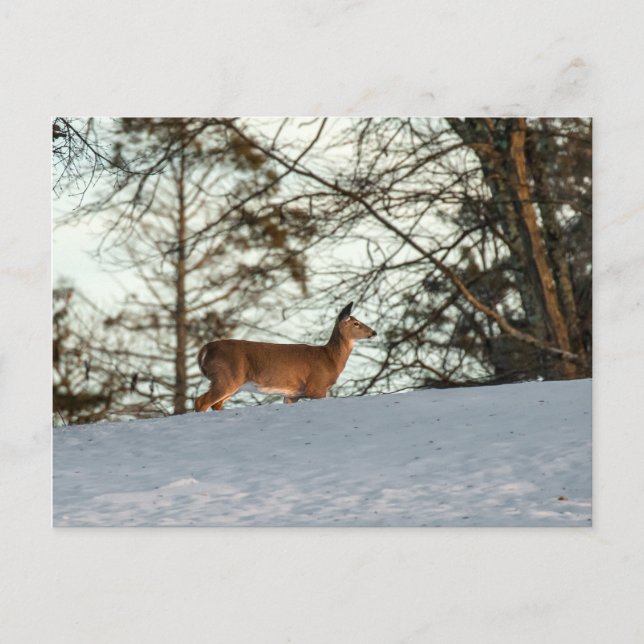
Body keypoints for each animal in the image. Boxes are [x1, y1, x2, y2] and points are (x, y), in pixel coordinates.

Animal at [194, 302, 377, 412]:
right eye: (356, 323)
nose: (373, 332)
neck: (330, 358)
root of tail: (205, 349)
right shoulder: (316, 386)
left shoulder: (292, 394)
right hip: (227, 376)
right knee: (201, 401)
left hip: (231, 382)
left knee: (215, 404)